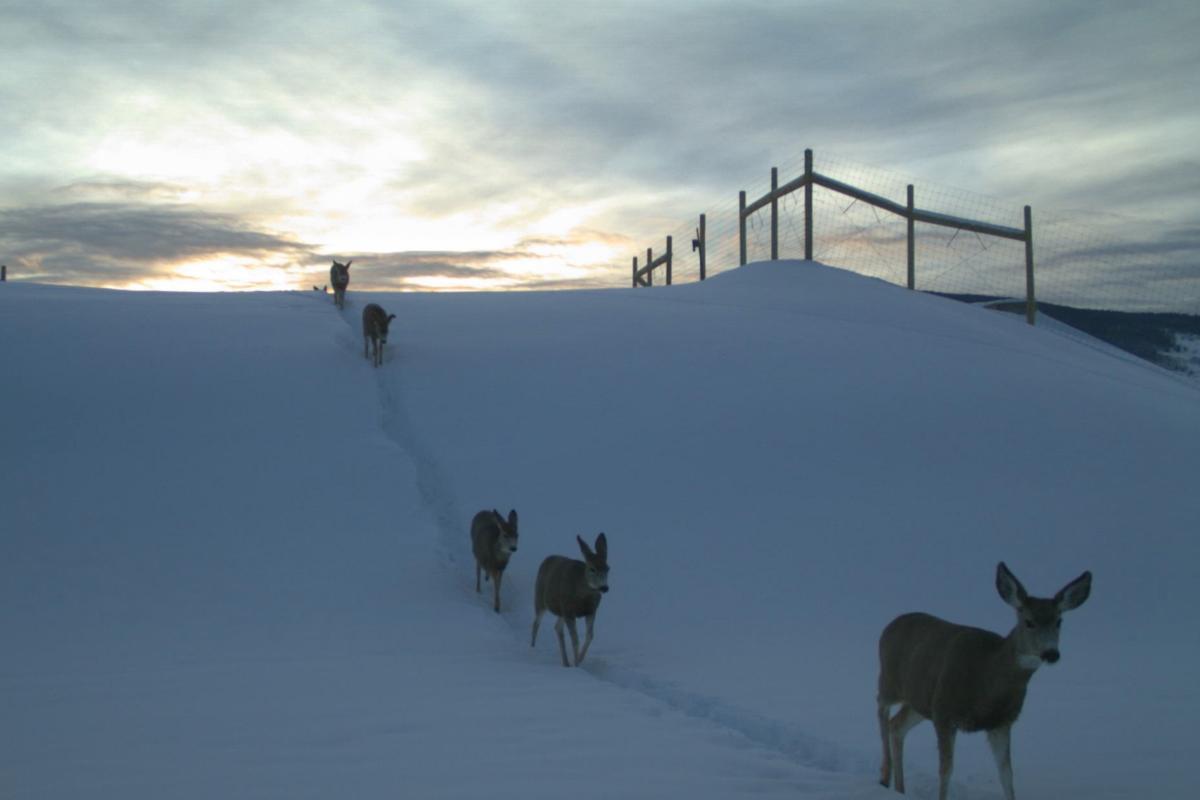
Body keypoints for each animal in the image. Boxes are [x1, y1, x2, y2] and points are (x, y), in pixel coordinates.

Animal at [531, 533, 609, 667]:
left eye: (608, 568)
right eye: (592, 569)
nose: (604, 587)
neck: (583, 596)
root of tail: (547, 559)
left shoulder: (591, 611)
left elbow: (590, 636)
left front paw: (580, 660)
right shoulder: (569, 611)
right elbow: (575, 640)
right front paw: (576, 664)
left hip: (560, 610)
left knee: (557, 627)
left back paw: (565, 662)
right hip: (540, 599)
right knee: (536, 623)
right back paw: (532, 648)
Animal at [876, 562, 1092, 800]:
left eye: (1059, 621)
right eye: (1029, 622)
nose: (1051, 653)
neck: (988, 678)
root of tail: (890, 625)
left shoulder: (1002, 721)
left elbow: (1006, 774)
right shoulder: (944, 711)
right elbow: (946, 770)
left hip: (919, 701)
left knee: (896, 726)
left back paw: (900, 789)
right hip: (889, 680)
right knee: (881, 710)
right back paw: (884, 777)